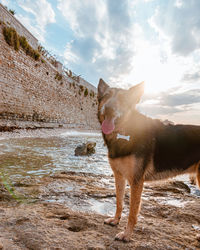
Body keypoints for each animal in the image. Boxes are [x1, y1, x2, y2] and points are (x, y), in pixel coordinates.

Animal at [97, 78, 200, 242]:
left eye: (123, 99)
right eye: (106, 96)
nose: (109, 109)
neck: (125, 131)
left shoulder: (136, 181)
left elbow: (132, 212)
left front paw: (127, 234)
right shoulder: (119, 176)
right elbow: (119, 202)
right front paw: (115, 220)